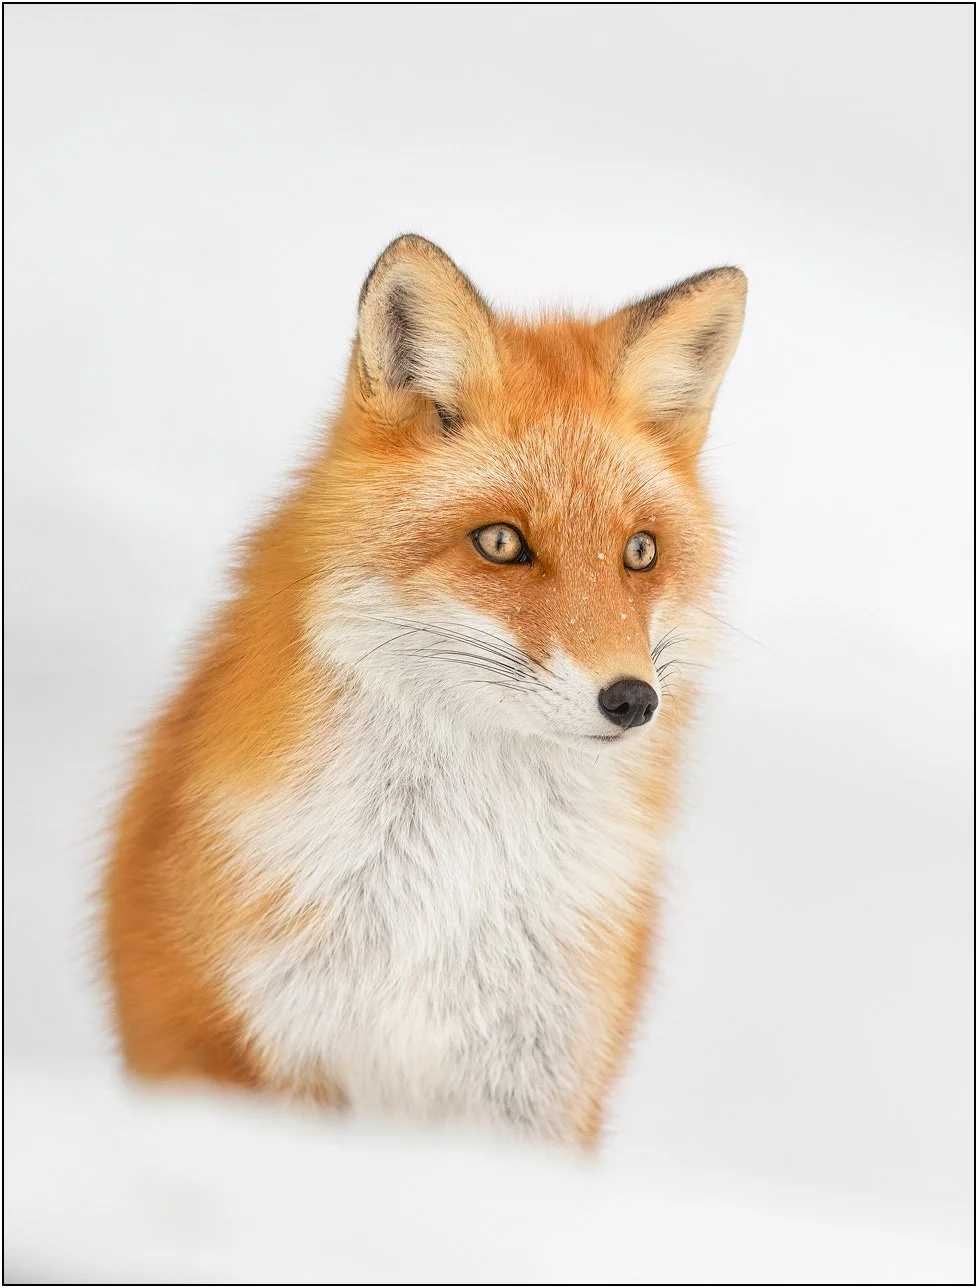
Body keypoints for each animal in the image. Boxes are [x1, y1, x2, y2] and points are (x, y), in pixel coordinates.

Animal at [103, 234, 747, 1146]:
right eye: (501, 542)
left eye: (641, 552)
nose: (632, 700)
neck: (448, 883)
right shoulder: (276, 1049)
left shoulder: (534, 1088)